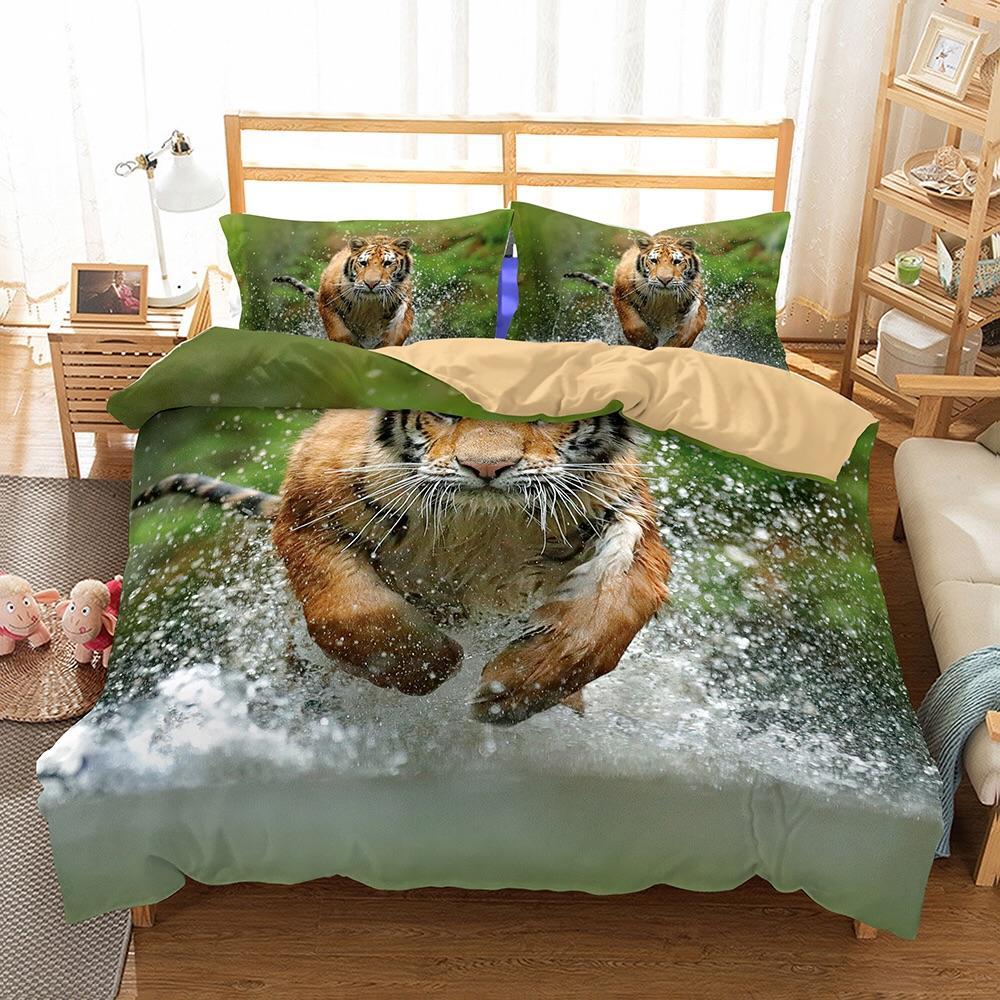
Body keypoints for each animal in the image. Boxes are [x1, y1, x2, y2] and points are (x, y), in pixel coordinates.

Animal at [133, 411, 671, 726]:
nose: (487, 469)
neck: (483, 523)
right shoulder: (309, 511)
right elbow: (350, 610)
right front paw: (434, 663)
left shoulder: (629, 515)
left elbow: (609, 614)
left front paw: (512, 690)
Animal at [273, 235, 415, 348]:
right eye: (363, 263)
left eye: (387, 263)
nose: (371, 283)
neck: (370, 304)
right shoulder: (327, 303)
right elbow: (340, 333)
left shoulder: (404, 304)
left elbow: (397, 333)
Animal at [564, 234, 707, 350]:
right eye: (654, 261)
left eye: (677, 261)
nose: (664, 280)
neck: (663, 298)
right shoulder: (621, 295)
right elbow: (633, 324)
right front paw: (649, 342)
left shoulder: (697, 299)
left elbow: (692, 327)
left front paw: (671, 347)